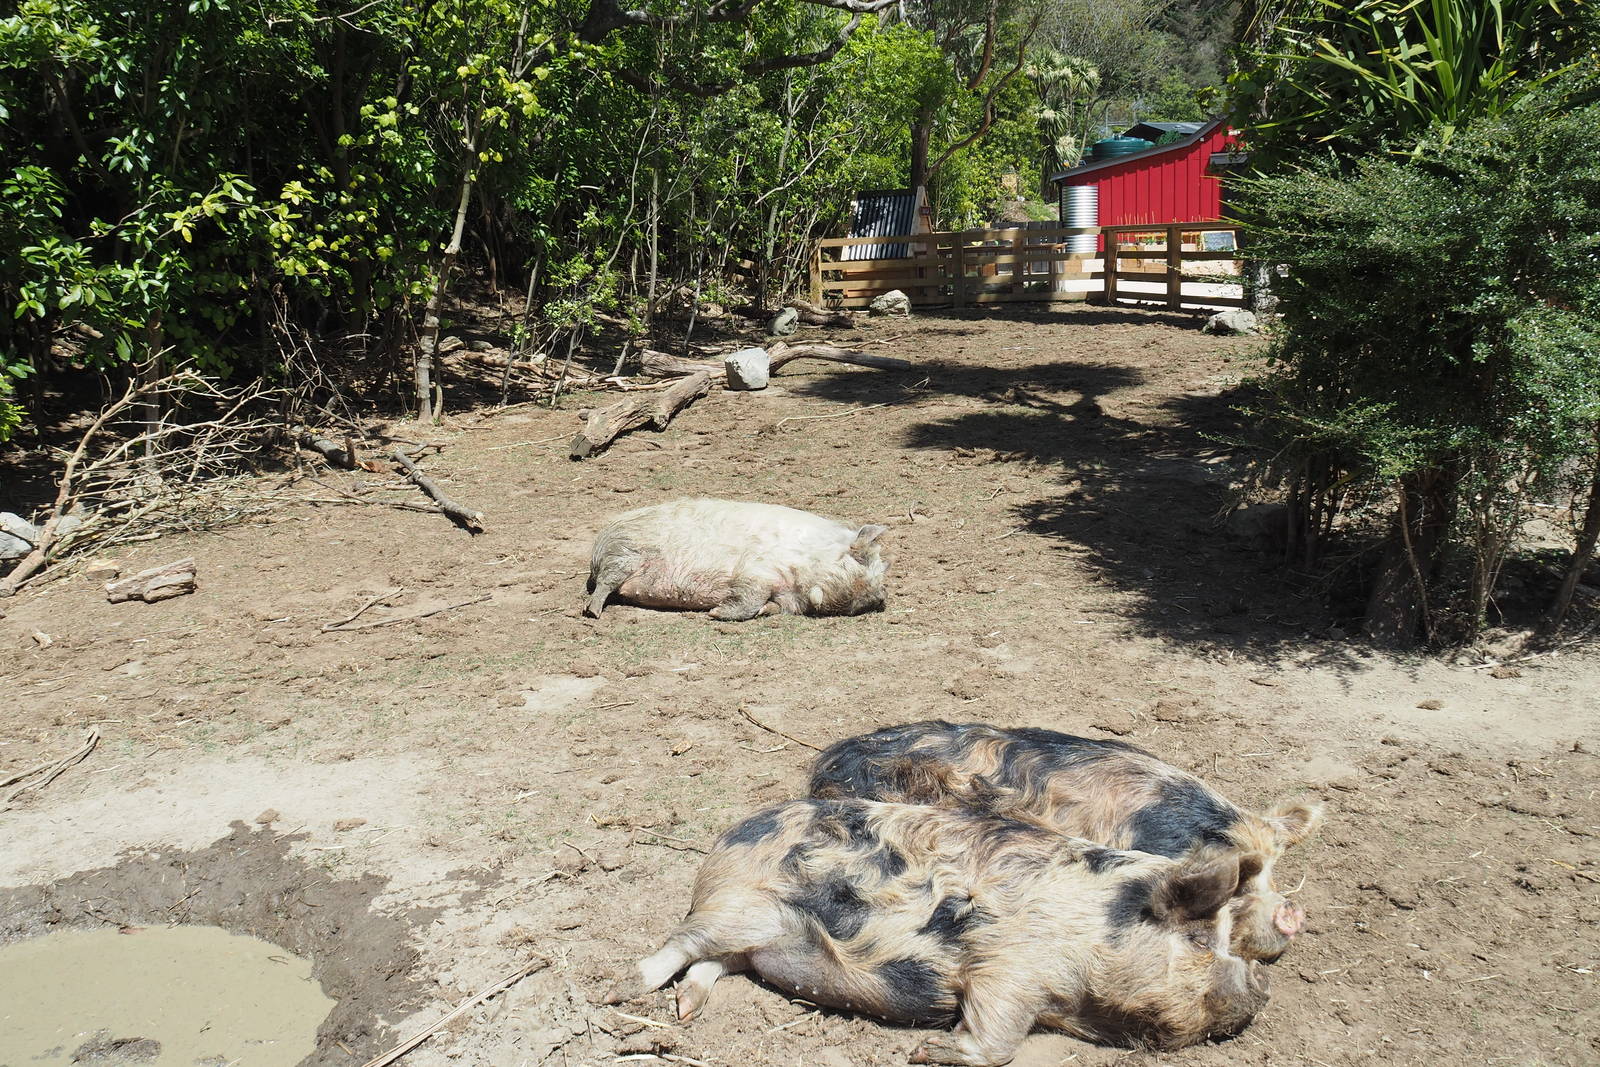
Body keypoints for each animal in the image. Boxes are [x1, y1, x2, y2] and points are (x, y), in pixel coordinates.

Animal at [584, 498, 888, 620]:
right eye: (860, 561)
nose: (882, 599)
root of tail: (598, 544)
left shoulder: (787, 599)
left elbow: (770, 607)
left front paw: (763, 611)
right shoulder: (756, 570)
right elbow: (748, 597)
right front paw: (715, 613)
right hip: (623, 553)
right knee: (606, 584)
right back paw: (593, 612)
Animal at [604, 798, 1269, 1064]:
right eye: (1202, 940)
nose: (1260, 988)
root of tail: (729, 837)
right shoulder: (1007, 969)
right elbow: (997, 1039)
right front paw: (926, 1051)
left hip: (752, 934)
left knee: (714, 963)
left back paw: (688, 1010)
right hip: (741, 908)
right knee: (682, 943)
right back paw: (619, 991)